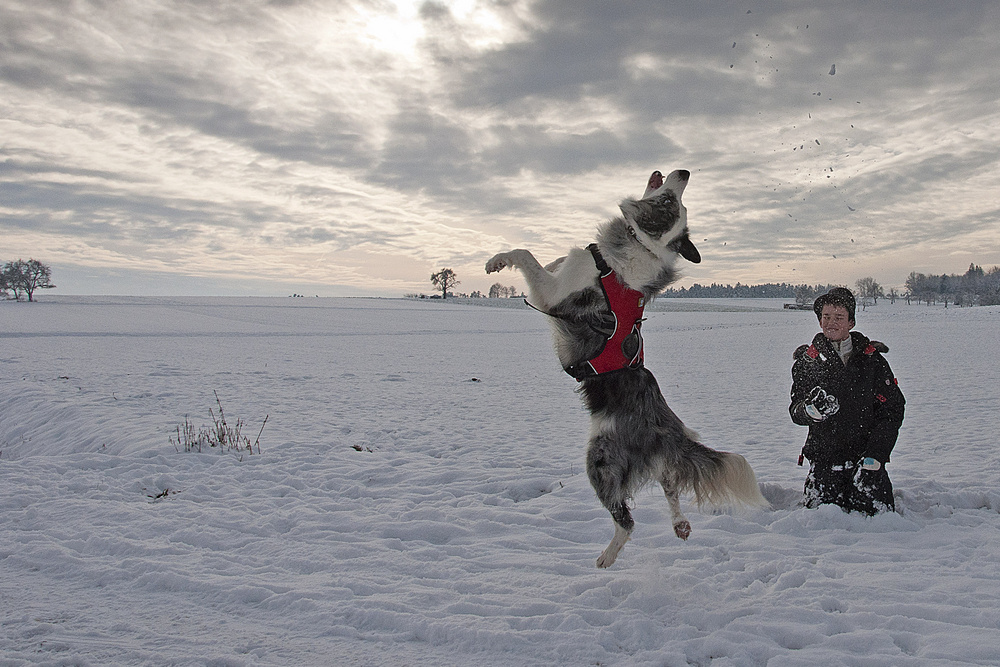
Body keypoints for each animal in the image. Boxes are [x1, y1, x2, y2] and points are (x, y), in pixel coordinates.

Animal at [488, 170, 768, 568]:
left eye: (669, 202)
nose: (684, 172)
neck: (638, 245)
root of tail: (669, 433)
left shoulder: (554, 294)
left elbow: (526, 255)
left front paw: (497, 261)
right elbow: (553, 257)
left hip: (600, 461)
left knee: (626, 519)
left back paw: (607, 556)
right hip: (658, 461)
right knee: (670, 482)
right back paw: (680, 523)